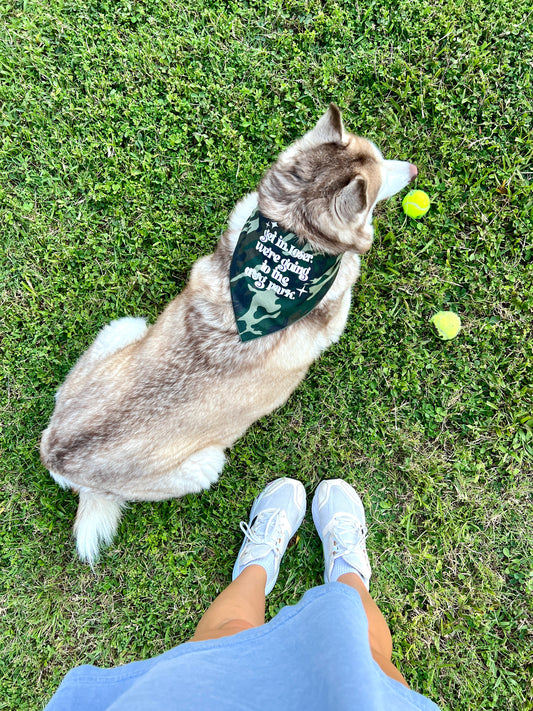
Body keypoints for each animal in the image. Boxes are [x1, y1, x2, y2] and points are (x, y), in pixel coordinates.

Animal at [41, 104, 416, 568]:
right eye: (381, 174)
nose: (414, 169)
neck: (295, 232)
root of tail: (57, 458)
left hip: (124, 326)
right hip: (207, 463)